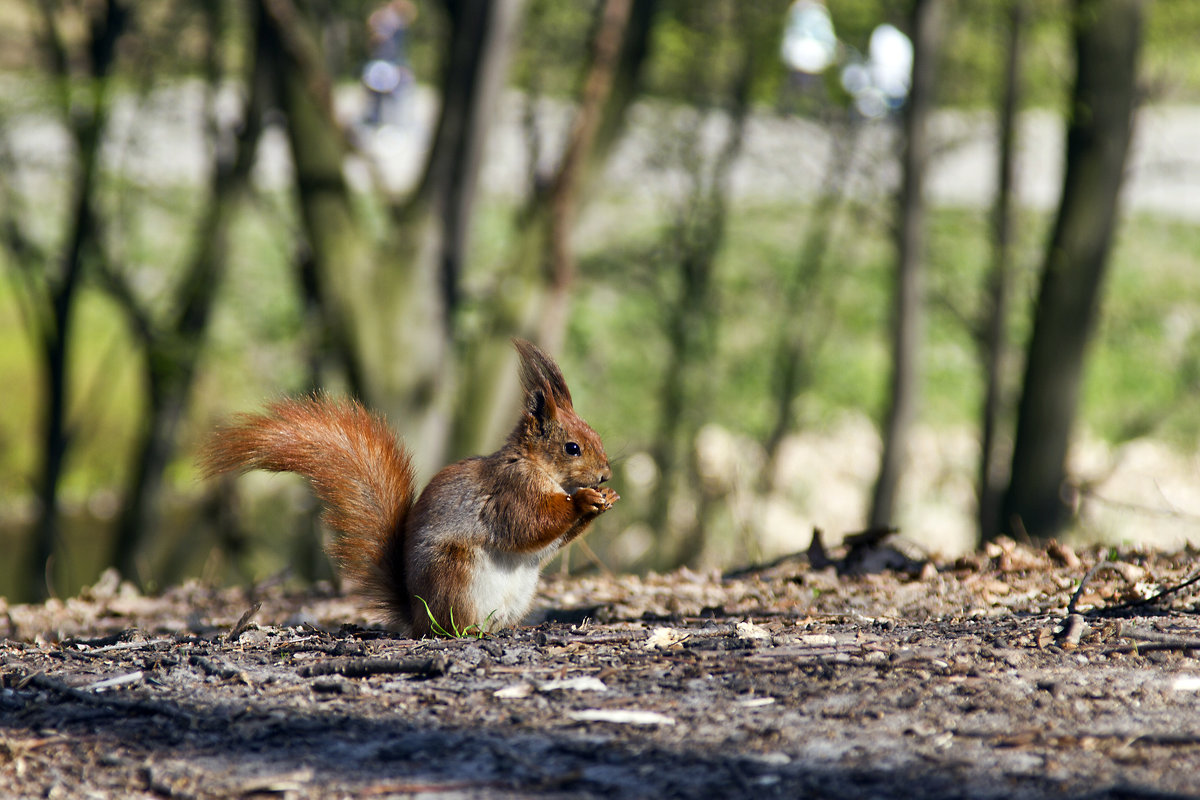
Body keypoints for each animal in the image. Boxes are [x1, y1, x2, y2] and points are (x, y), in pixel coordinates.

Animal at [201, 340, 619, 638]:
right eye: (572, 448)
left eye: (597, 436)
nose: (605, 476)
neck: (535, 466)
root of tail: (417, 615)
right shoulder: (510, 491)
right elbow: (529, 524)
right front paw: (583, 500)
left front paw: (605, 501)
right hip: (456, 575)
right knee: (450, 627)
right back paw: (471, 630)